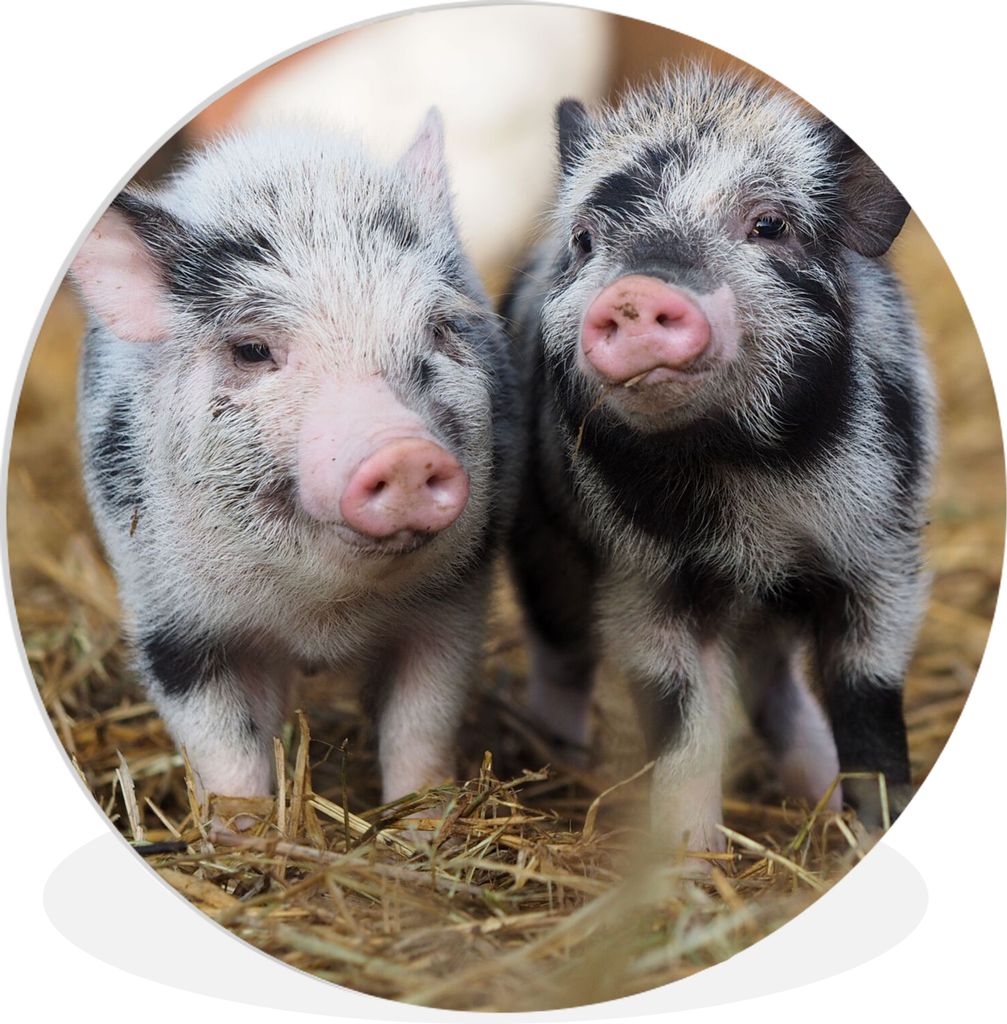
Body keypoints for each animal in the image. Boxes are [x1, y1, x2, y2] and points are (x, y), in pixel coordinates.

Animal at [69, 111, 520, 819]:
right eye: (252, 350)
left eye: (441, 329)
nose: (404, 451)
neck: (322, 617)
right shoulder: (169, 620)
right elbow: (224, 751)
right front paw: (245, 832)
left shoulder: (454, 603)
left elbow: (421, 724)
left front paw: (420, 820)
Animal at [504, 66, 935, 856]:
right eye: (585, 238)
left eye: (768, 225)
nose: (637, 291)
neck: (743, 479)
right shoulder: (642, 581)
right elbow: (683, 726)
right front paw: (688, 863)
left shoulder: (881, 556)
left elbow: (868, 699)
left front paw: (866, 830)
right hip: (540, 541)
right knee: (560, 654)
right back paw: (564, 762)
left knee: (777, 689)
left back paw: (818, 800)